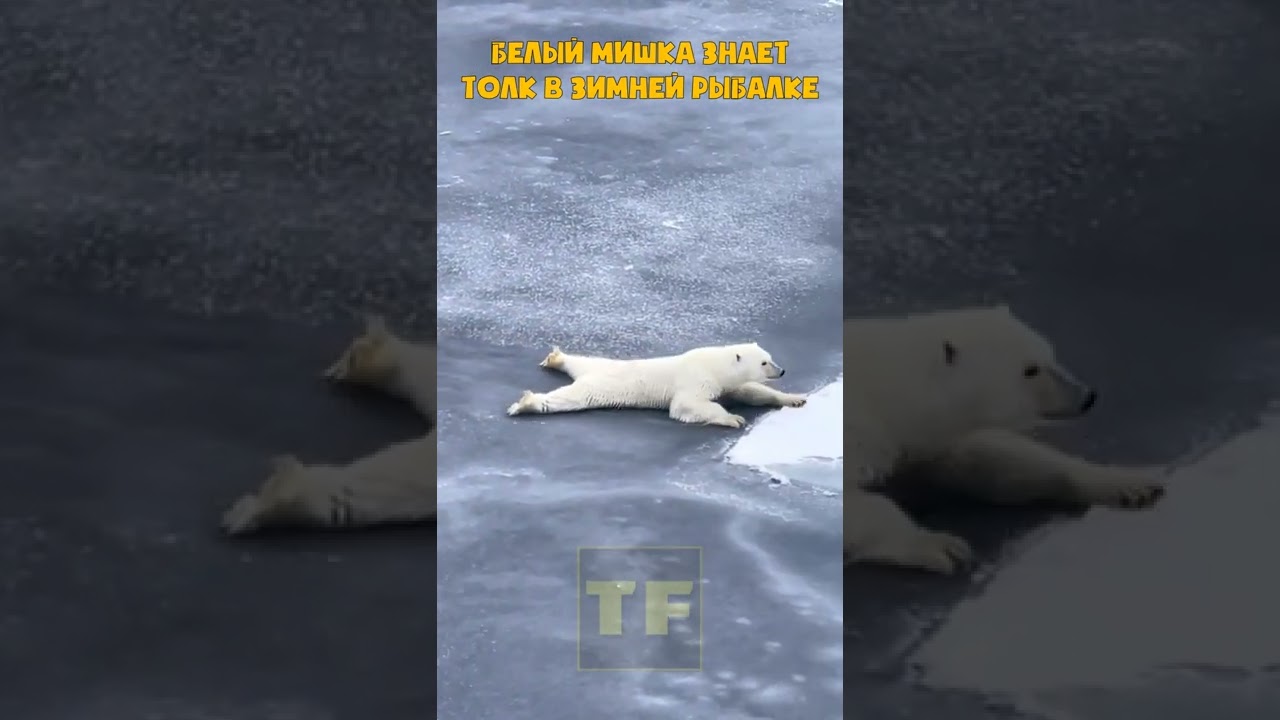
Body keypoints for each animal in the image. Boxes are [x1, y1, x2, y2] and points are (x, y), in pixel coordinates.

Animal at [505, 342, 808, 429]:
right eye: (765, 362)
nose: (782, 370)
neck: (714, 364)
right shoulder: (696, 379)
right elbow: (686, 406)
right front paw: (734, 418)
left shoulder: (726, 383)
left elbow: (749, 391)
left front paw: (795, 398)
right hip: (596, 387)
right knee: (569, 399)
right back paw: (527, 403)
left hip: (598, 365)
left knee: (582, 360)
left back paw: (557, 358)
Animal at [843, 305, 1166, 574]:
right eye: (1030, 369)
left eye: (1050, 354)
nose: (1087, 396)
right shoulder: (855, 432)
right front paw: (939, 545)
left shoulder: (929, 440)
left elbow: (989, 460)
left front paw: (1128, 484)